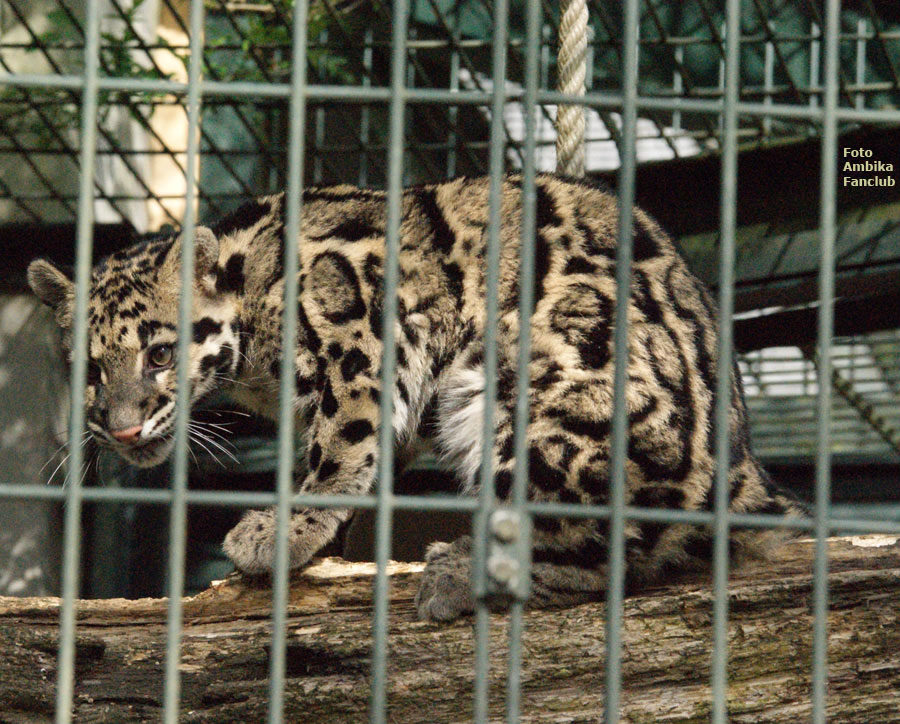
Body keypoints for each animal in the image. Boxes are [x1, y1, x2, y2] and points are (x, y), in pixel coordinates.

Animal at [26, 173, 796, 620]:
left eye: (159, 354)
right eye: (91, 371)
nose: (123, 431)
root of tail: (743, 470)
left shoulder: (360, 333)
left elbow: (340, 449)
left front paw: (286, 527)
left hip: (536, 401)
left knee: (603, 548)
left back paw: (464, 573)